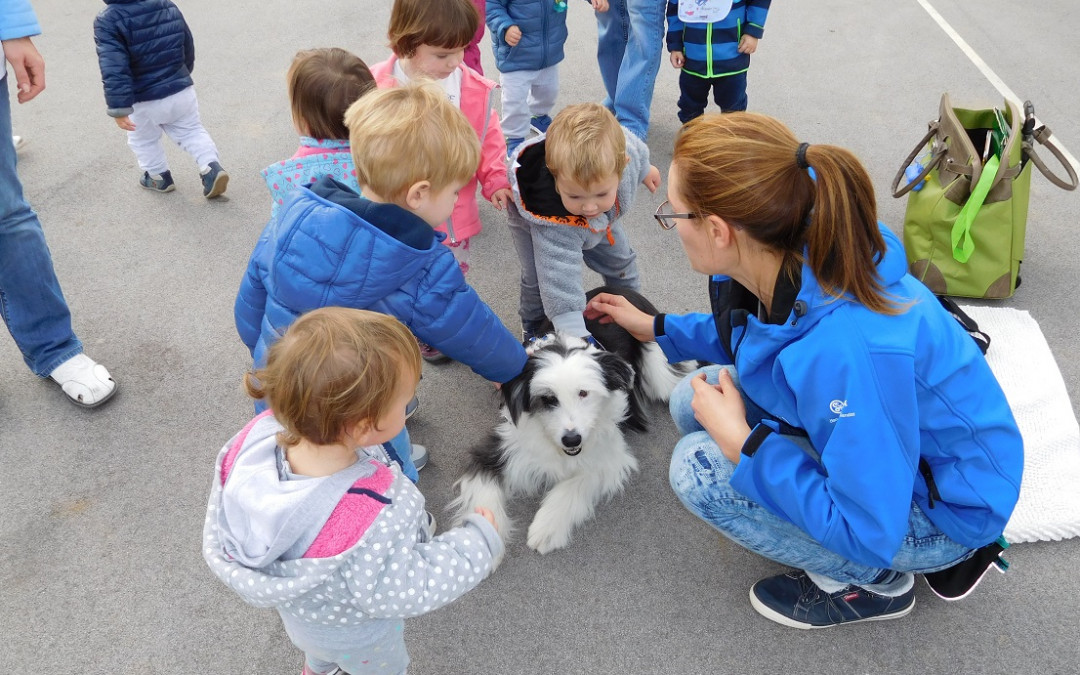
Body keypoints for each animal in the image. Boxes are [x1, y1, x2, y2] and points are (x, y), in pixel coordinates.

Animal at [449, 285, 695, 552]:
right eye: (548, 398)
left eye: (583, 393)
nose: (571, 440)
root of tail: (619, 289)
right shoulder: (500, 447)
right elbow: (483, 494)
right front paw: (481, 542)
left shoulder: (608, 456)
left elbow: (575, 483)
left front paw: (546, 528)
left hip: (660, 372)